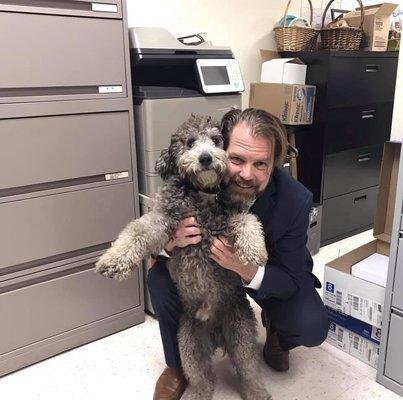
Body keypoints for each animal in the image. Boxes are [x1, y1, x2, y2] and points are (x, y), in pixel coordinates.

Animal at [94, 113, 272, 400]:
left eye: (216, 140)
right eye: (189, 142)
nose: (206, 158)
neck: (201, 194)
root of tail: (216, 335)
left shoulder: (229, 217)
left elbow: (248, 220)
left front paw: (255, 249)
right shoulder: (163, 218)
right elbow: (137, 229)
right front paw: (113, 259)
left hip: (241, 332)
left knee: (248, 371)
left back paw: (257, 392)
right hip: (189, 344)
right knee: (202, 379)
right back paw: (196, 393)